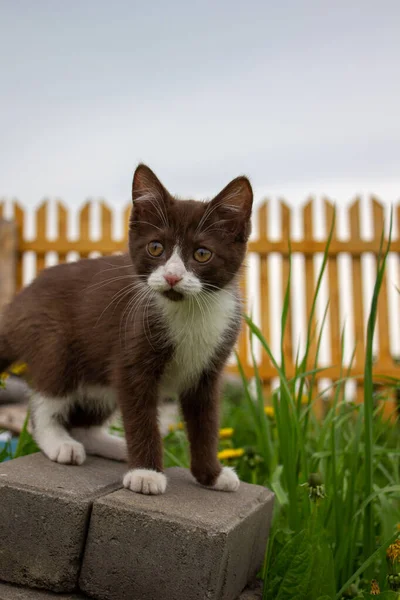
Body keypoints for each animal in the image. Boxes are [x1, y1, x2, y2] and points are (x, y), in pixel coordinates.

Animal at [0, 165, 253, 496]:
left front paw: (212, 475)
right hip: (51, 338)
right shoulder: (132, 353)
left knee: (84, 419)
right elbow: (139, 415)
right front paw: (146, 474)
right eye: (156, 248)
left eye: (202, 254)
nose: (172, 277)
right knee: (48, 395)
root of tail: (18, 301)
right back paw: (60, 443)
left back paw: (114, 446)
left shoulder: (208, 370)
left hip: (97, 374)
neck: (189, 313)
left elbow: (206, 423)